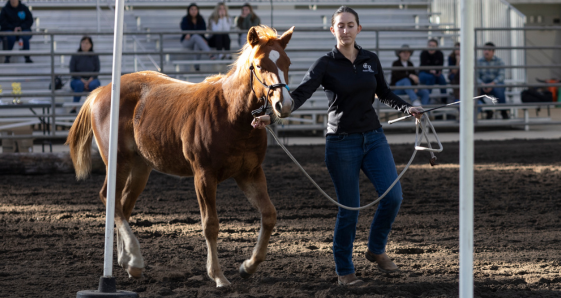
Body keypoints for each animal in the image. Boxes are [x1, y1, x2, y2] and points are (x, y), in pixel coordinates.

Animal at [65, 26, 294, 288]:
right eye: (259, 65)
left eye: (287, 62)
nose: (284, 104)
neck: (230, 113)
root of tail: (102, 91)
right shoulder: (203, 176)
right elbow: (210, 225)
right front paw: (218, 276)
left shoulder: (250, 174)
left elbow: (269, 215)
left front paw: (248, 266)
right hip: (118, 162)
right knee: (109, 198)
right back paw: (135, 259)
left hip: (141, 168)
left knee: (122, 204)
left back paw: (128, 262)